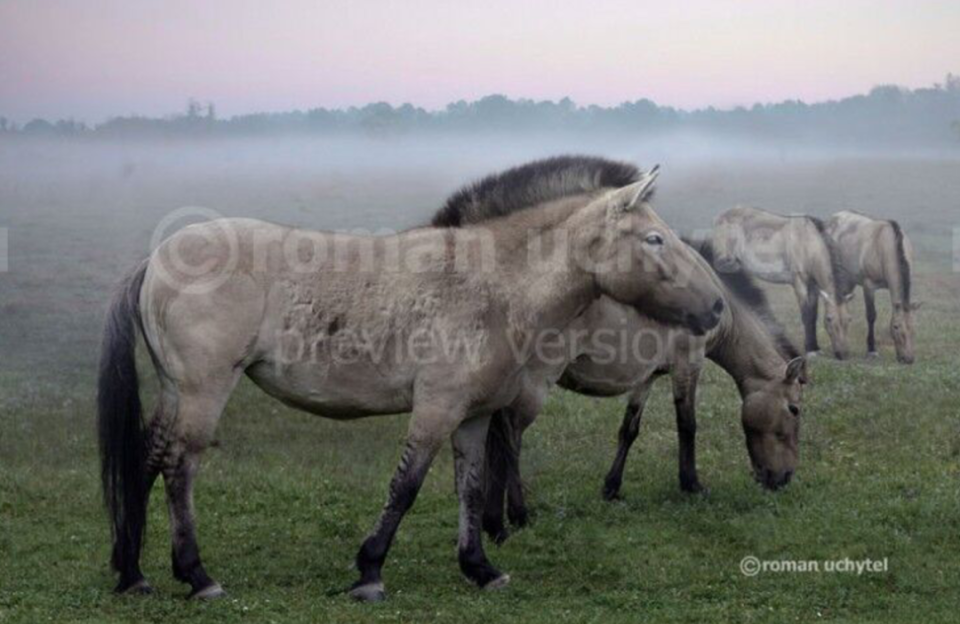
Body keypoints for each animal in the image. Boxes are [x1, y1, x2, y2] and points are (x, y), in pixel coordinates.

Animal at [99, 156, 728, 600]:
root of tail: (157, 259)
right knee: (179, 468)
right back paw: (197, 575)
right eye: (654, 239)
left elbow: (470, 487)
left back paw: (132, 572)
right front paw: (370, 570)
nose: (719, 306)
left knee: (148, 459)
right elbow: (406, 485)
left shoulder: (474, 416)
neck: (494, 284)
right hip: (204, 392)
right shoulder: (436, 408)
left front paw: (480, 568)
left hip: (175, 391)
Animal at [476, 241, 808, 544]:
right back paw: (515, 516)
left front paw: (611, 488)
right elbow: (687, 426)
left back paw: (492, 522)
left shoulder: (646, 377)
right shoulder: (688, 365)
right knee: (510, 438)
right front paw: (692, 485)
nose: (785, 478)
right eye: (794, 409)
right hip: (537, 380)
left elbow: (629, 430)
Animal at [712, 206, 856, 358]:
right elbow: (807, 314)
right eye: (829, 319)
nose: (843, 354)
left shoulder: (813, 288)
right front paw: (810, 350)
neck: (809, 244)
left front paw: (815, 347)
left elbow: (813, 315)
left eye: (849, 319)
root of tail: (720, 217)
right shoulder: (799, 283)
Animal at [828, 211, 920, 364]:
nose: (908, 359)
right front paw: (872, 350)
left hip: (848, 281)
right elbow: (871, 316)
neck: (886, 247)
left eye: (913, 326)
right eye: (896, 327)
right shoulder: (868, 286)